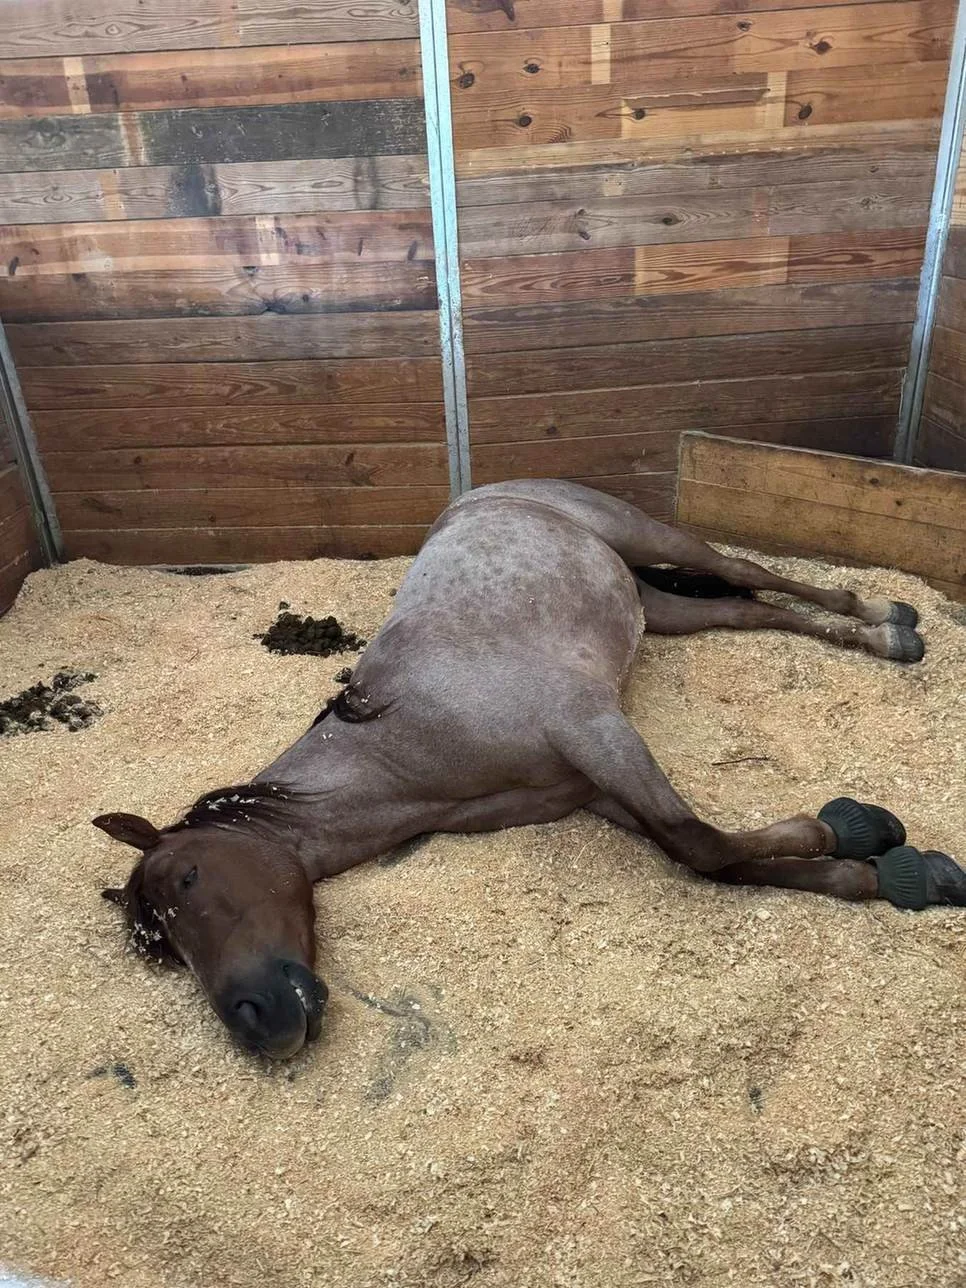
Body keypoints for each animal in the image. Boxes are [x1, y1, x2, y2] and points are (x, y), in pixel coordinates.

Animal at [97, 480, 966, 1060]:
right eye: (162, 950)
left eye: (190, 879)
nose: (253, 1021)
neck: (406, 740)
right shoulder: (592, 788)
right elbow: (713, 858)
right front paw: (885, 871)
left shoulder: (595, 731)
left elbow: (701, 841)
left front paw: (861, 832)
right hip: (658, 605)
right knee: (747, 611)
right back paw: (879, 635)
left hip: (653, 540)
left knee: (757, 573)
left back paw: (887, 620)